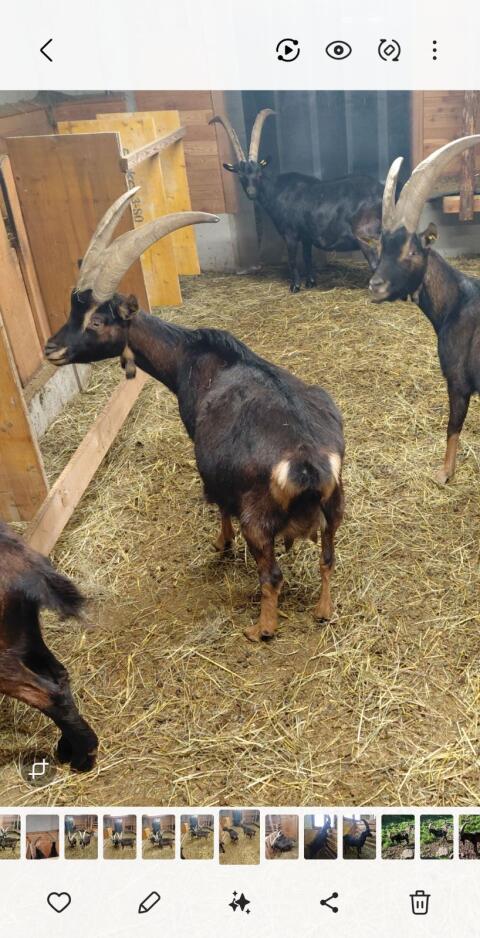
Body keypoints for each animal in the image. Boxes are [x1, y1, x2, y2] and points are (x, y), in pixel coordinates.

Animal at [45, 191, 345, 642]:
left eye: (97, 320)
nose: (51, 348)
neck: (190, 355)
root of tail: (307, 462)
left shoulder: (209, 462)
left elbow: (219, 506)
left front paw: (220, 544)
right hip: (336, 506)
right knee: (328, 559)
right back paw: (323, 610)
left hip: (259, 519)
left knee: (272, 575)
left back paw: (261, 629)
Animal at [211, 109, 383, 292]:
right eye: (240, 175)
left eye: (259, 172)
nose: (251, 193)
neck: (277, 189)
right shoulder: (307, 235)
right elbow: (307, 258)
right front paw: (311, 282)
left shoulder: (290, 233)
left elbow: (292, 260)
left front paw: (295, 286)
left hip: (368, 236)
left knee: (376, 264)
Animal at [369, 134, 480, 485]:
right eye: (381, 247)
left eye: (412, 250)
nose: (375, 286)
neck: (457, 301)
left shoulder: (458, 380)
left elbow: (453, 426)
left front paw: (444, 473)